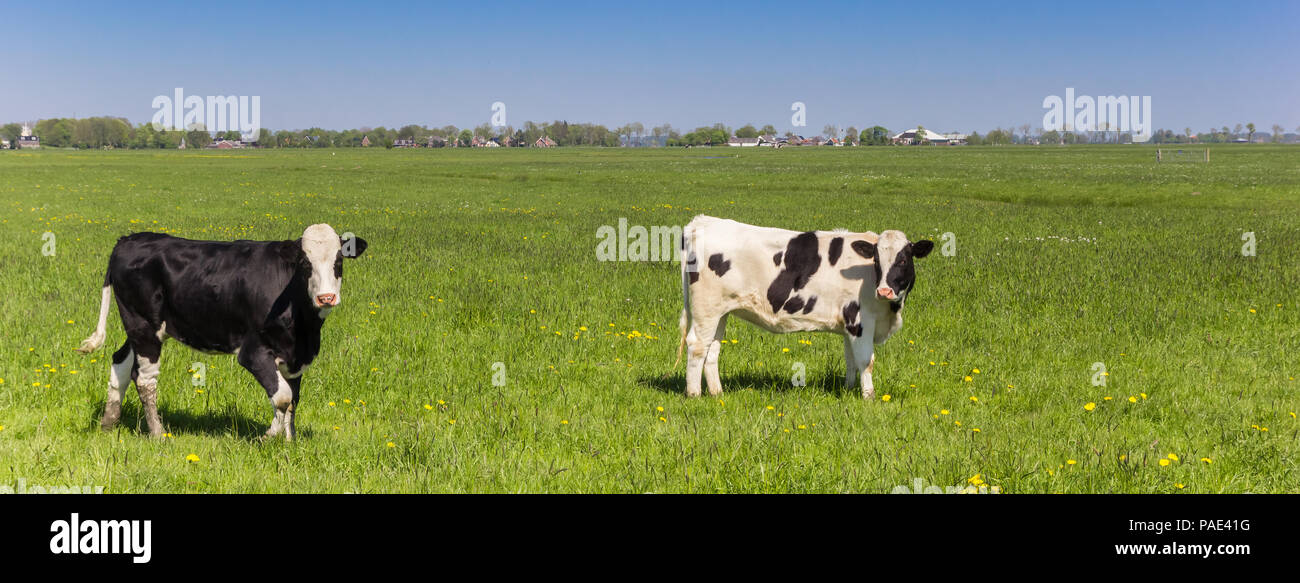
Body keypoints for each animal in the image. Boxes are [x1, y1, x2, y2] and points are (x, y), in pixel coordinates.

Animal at [75, 224, 369, 440]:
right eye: (305, 264)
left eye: (339, 261)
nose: (326, 297)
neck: (304, 326)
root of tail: (128, 239)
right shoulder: (253, 351)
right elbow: (283, 397)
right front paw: (268, 436)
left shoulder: (295, 355)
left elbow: (293, 398)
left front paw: (289, 441)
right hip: (144, 326)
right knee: (145, 379)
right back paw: (158, 433)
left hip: (141, 327)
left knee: (120, 362)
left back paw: (108, 423)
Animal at [675, 215, 933, 399]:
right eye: (877, 260)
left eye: (903, 260)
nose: (884, 291)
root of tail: (702, 222)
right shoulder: (861, 321)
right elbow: (865, 361)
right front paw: (868, 397)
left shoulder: (849, 324)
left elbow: (850, 360)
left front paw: (849, 391)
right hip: (706, 309)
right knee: (697, 346)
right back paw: (694, 394)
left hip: (720, 311)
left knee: (712, 349)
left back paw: (717, 393)